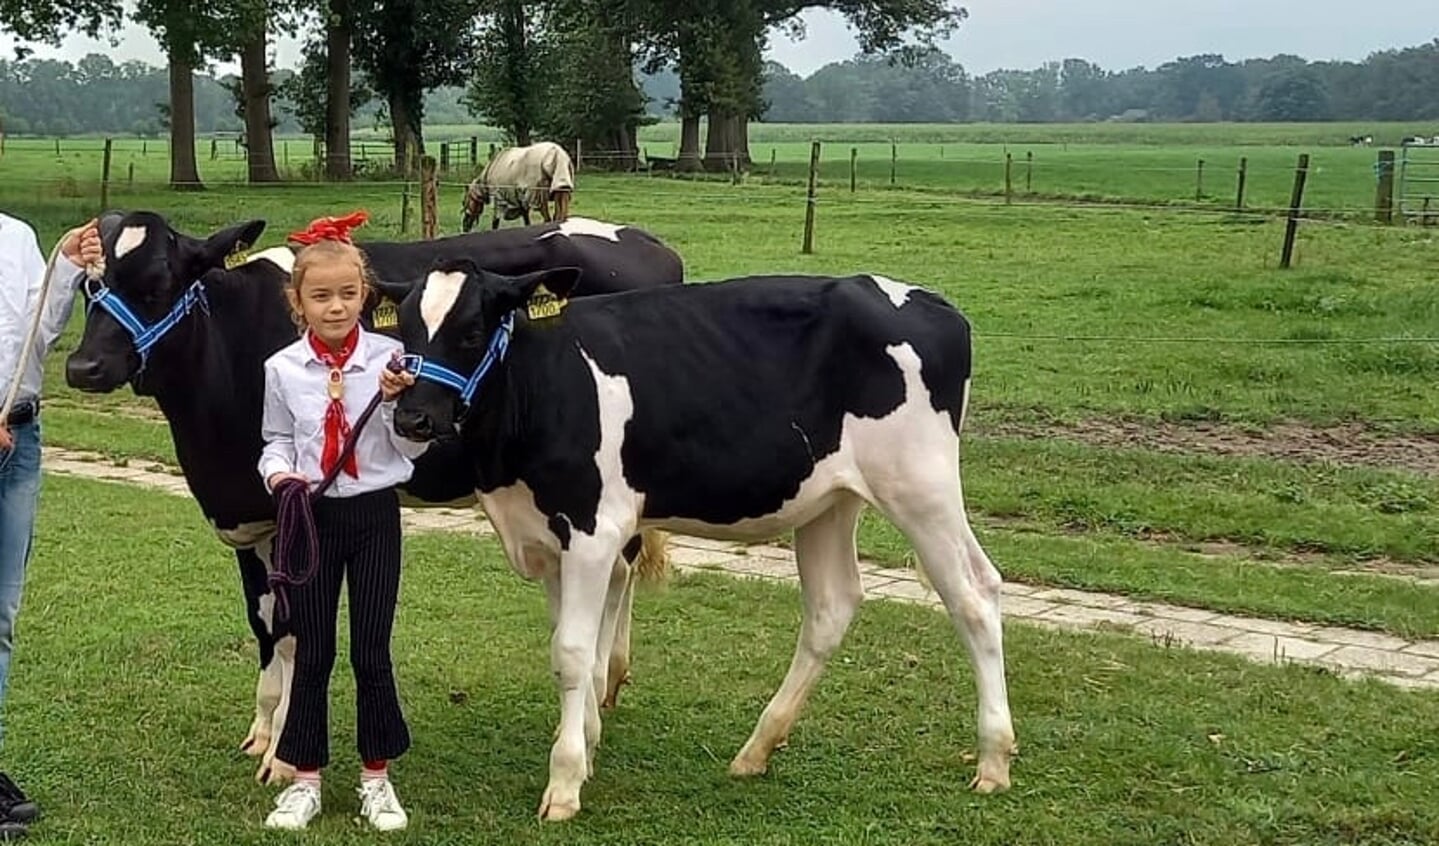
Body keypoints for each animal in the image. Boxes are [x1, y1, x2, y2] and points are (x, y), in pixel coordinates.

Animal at [70, 211, 687, 788]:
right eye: (87, 287)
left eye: (156, 283)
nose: (83, 366)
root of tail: (644, 240)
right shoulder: (248, 514)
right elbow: (265, 621)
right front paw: (264, 728)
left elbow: (295, 631)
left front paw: (283, 755)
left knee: (617, 570)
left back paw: (602, 685)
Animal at [388, 263, 1018, 817]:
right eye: (407, 330)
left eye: (472, 331)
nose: (412, 418)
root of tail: (930, 301)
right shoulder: (546, 540)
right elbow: (570, 644)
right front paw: (588, 742)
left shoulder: (595, 529)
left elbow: (569, 653)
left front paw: (565, 782)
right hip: (830, 499)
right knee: (832, 605)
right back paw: (757, 748)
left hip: (920, 485)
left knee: (975, 595)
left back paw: (993, 758)